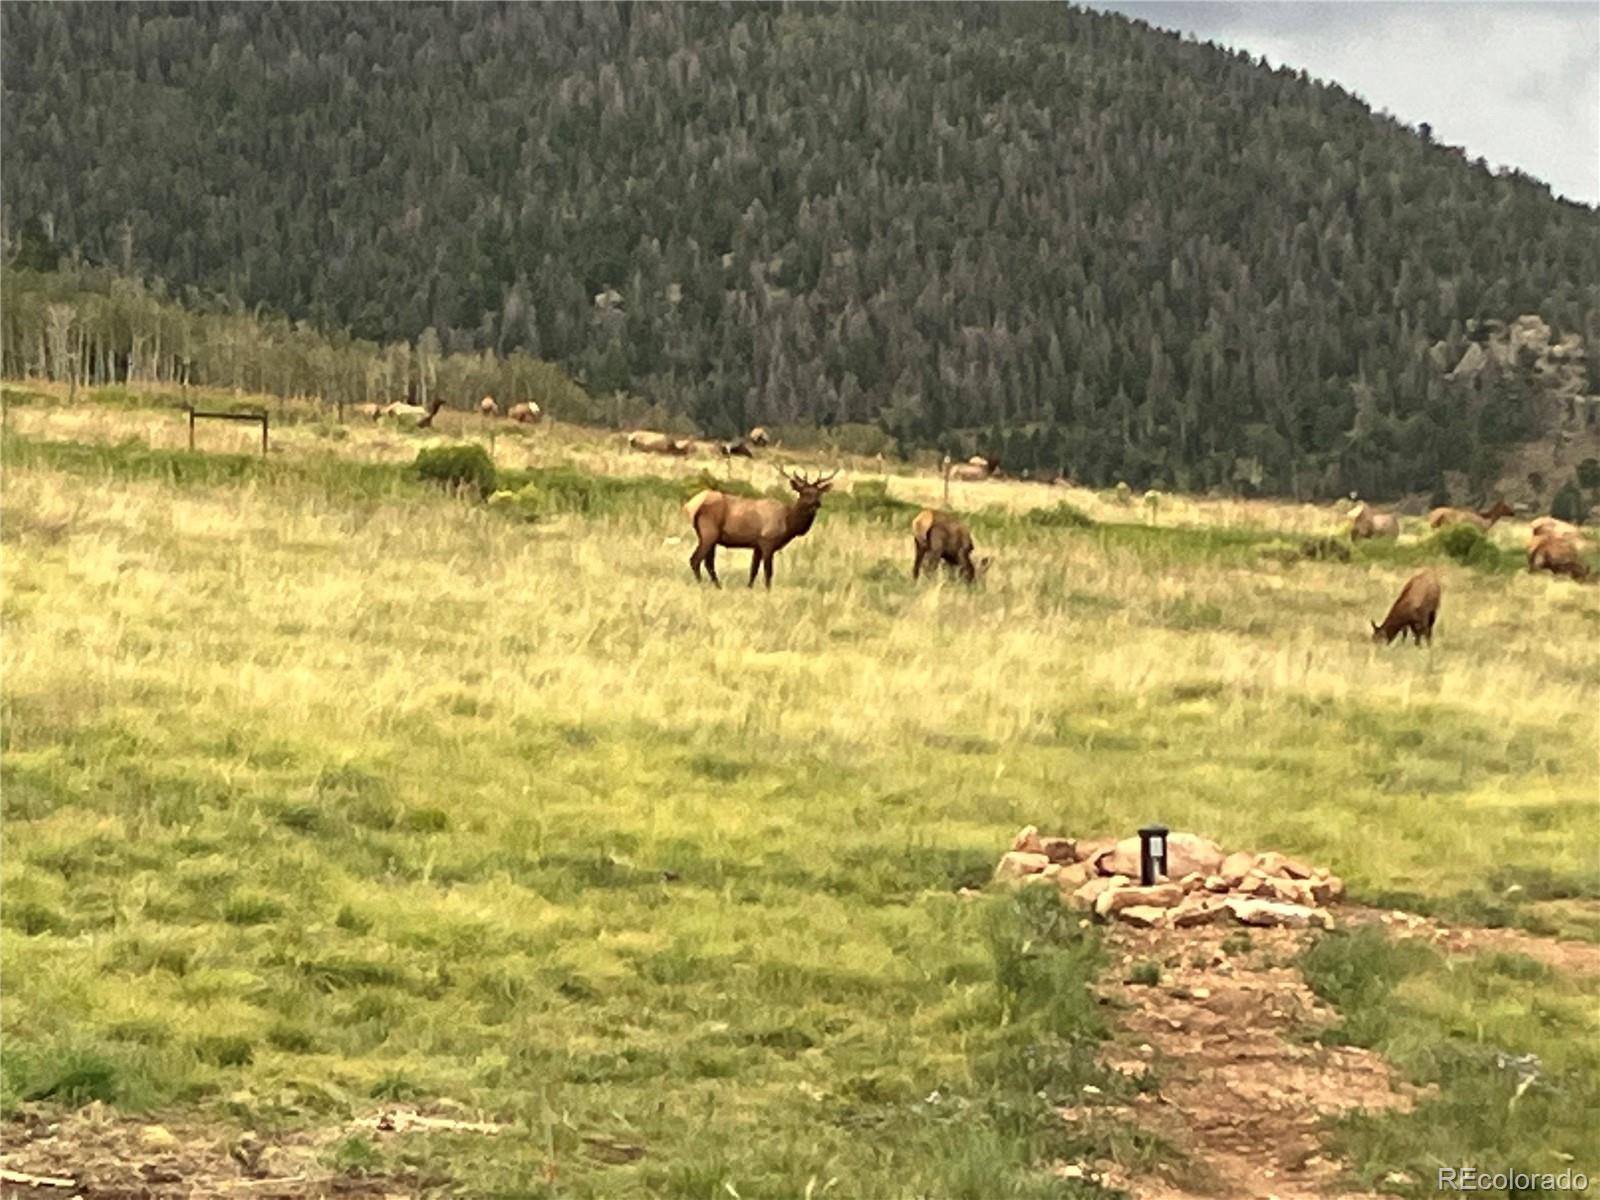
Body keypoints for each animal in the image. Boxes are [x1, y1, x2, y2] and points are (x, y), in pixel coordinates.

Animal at [681, 467, 838, 588]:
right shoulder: (767, 542)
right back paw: (702, 585)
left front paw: (749, 588)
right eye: (804, 493)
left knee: (708, 562)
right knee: (695, 560)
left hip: (711, 537)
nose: (817, 504)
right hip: (709, 533)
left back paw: (718, 586)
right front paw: (768, 592)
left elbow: (753, 570)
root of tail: (690, 506)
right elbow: (768, 572)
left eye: (819, 493)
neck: (788, 525)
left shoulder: (757, 545)